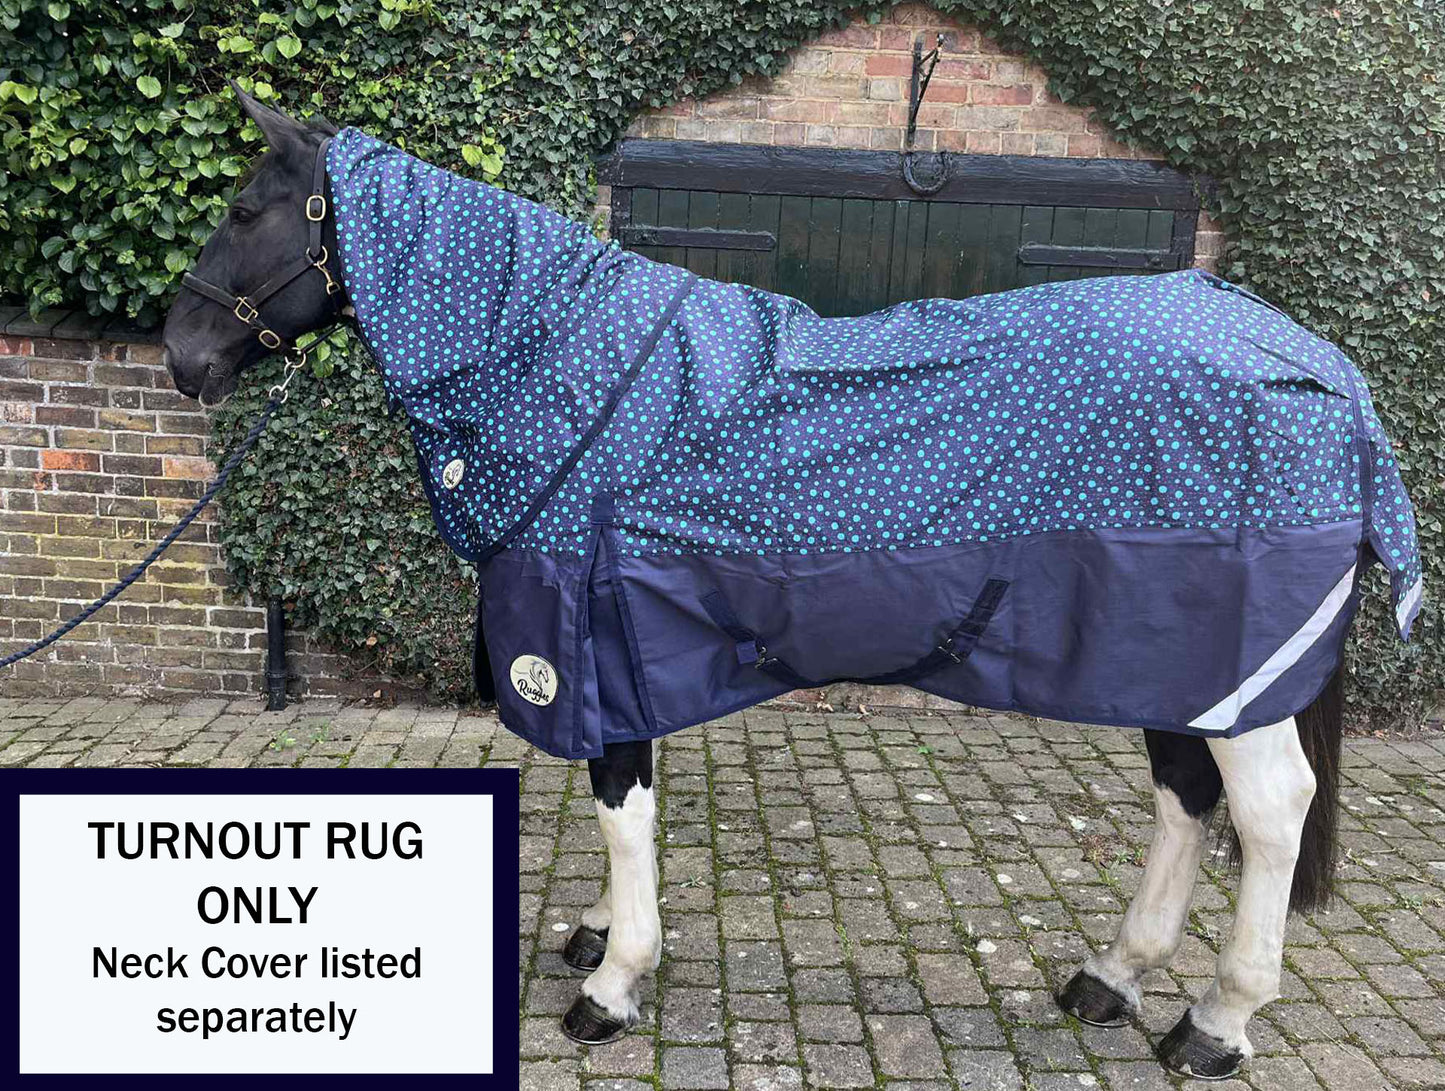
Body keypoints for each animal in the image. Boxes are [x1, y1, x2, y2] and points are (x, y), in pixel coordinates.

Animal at [161, 87, 1422, 1079]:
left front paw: (609, 985)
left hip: (1235, 668)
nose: (181, 355)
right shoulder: (627, 647)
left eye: (243, 210)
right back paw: (1109, 975)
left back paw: (1213, 1021)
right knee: (1183, 798)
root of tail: (1318, 369)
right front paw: (599, 937)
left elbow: (619, 806)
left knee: (1266, 813)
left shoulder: (588, 634)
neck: (575, 377)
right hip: (1173, 661)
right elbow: (629, 801)